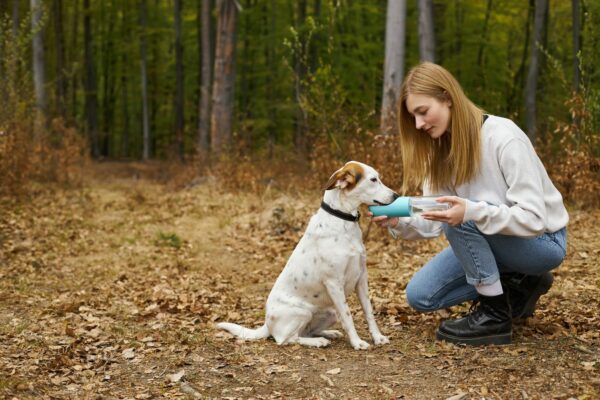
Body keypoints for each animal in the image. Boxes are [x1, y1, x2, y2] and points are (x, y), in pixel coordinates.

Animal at [217, 161, 398, 348]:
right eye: (373, 180)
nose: (396, 195)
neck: (342, 221)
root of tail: (267, 324)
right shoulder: (334, 283)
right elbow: (348, 317)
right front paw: (357, 342)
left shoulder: (361, 278)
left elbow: (369, 312)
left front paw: (377, 337)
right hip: (302, 312)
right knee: (287, 339)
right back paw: (318, 341)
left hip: (330, 312)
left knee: (307, 331)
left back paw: (328, 334)